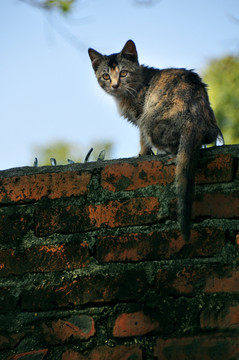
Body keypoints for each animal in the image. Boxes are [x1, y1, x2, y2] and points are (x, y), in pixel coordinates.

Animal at [88, 39, 224, 242]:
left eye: (123, 73)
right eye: (105, 76)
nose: (114, 85)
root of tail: (193, 118)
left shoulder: (140, 116)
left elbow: (142, 140)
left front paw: (142, 154)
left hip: (149, 121)